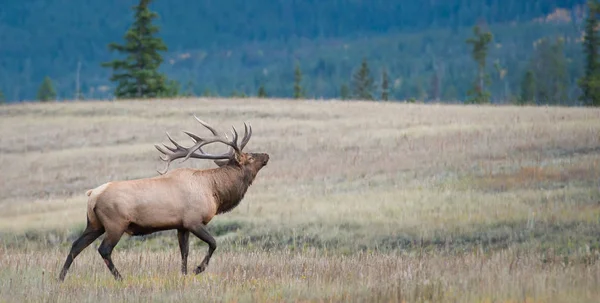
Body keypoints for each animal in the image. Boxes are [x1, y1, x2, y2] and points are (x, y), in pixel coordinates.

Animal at [58, 115, 270, 282]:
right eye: (250, 157)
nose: (266, 155)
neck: (214, 191)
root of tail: (92, 194)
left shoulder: (181, 225)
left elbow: (184, 252)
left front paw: (184, 274)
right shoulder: (193, 221)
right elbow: (213, 243)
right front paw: (197, 269)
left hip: (94, 224)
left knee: (76, 246)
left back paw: (60, 278)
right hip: (115, 224)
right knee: (104, 250)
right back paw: (120, 278)